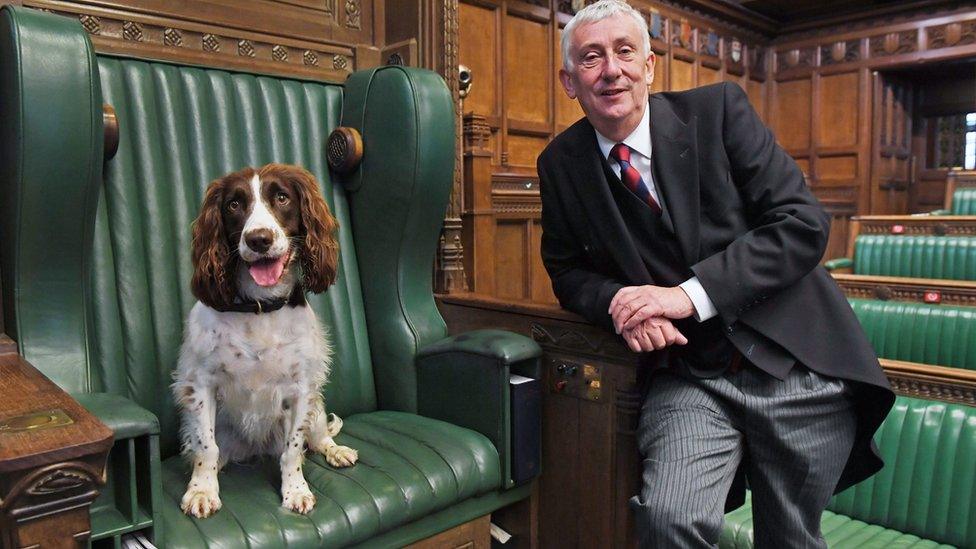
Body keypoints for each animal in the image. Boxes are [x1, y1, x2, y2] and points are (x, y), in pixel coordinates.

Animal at [173, 163, 358, 520]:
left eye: (282, 198)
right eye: (234, 204)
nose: (259, 239)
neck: (259, 307)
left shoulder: (302, 389)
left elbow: (293, 449)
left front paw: (295, 490)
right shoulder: (200, 384)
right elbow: (206, 446)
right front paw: (202, 490)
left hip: (316, 403)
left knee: (319, 437)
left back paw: (336, 451)